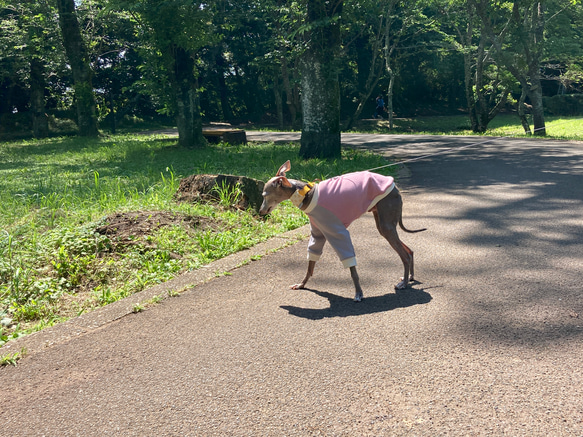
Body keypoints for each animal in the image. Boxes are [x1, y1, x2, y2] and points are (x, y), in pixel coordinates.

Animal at [260, 160, 424, 300]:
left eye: (264, 195)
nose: (260, 212)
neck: (306, 194)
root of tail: (395, 187)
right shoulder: (318, 232)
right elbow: (311, 263)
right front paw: (301, 284)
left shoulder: (337, 231)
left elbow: (351, 267)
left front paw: (358, 293)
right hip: (383, 224)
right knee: (409, 251)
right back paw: (409, 277)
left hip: (387, 222)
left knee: (405, 256)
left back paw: (404, 284)